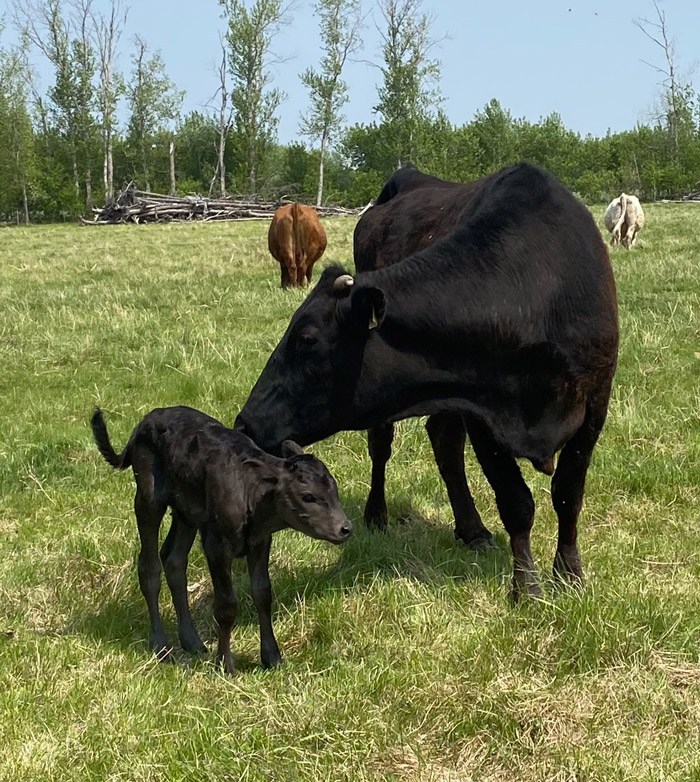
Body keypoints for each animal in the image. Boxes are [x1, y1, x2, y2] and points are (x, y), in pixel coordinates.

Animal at [91, 406, 352, 674]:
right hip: (148, 497)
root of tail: (149, 418)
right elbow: (226, 605)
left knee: (174, 559)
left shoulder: (260, 541)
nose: (345, 528)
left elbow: (263, 593)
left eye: (334, 490)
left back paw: (192, 641)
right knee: (149, 566)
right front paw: (225, 664)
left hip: (188, 512)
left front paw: (272, 657)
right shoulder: (217, 545)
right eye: (308, 496)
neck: (250, 495)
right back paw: (161, 646)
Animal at [235, 163, 619, 601]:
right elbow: (516, 503)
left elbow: (567, 494)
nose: (245, 422)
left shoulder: (595, 401)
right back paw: (378, 514)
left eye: (307, 338)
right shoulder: (483, 415)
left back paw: (472, 529)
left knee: (443, 439)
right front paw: (526, 588)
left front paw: (569, 575)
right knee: (384, 447)